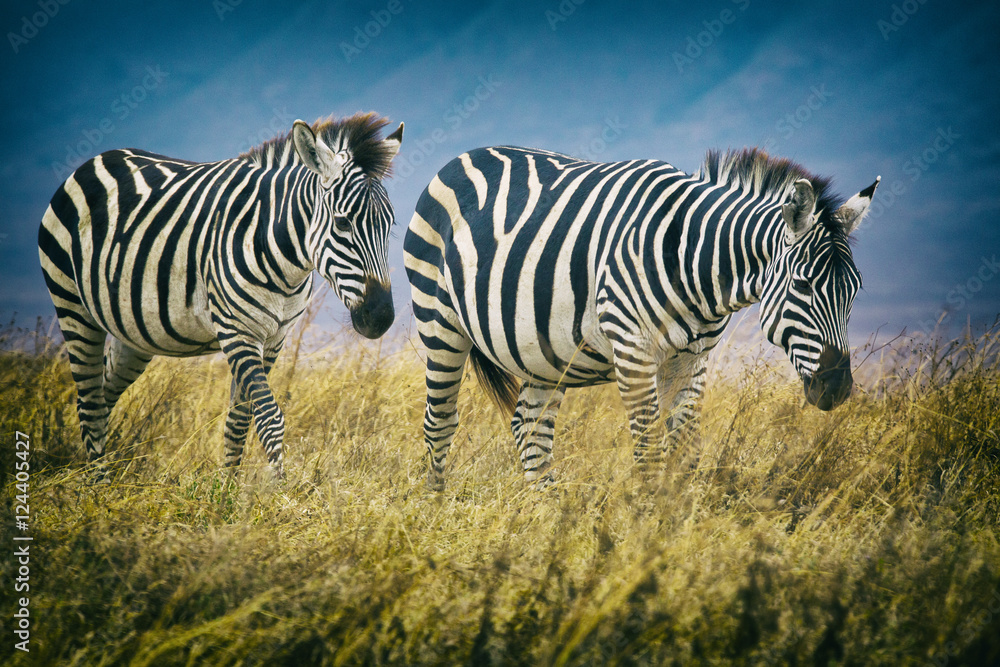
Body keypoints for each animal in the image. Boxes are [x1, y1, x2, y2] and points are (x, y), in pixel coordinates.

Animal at [38, 112, 403, 479]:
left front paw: (227, 487)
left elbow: (240, 418)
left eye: (390, 226)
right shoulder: (237, 332)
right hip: (73, 307)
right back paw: (99, 483)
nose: (381, 318)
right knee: (89, 401)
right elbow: (269, 416)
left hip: (133, 331)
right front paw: (278, 487)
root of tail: (98, 158)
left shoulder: (274, 338)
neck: (283, 261)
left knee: (103, 394)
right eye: (342, 224)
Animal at [404, 146, 878, 490]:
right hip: (439, 322)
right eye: (803, 285)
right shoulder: (634, 351)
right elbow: (649, 451)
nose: (837, 388)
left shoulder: (693, 360)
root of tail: (465, 155)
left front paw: (676, 531)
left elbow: (686, 453)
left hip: (542, 350)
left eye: (855, 291)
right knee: (440, 421)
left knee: (530, 426)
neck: (693, 263)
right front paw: (645, 533)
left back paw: (546, 513)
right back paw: (437, 506)